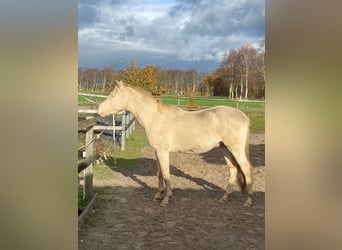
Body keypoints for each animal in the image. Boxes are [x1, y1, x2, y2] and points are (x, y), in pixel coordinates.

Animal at [97, 80, 252, 207]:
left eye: (113, 95)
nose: (99, 110)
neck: (155, 117)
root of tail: (243, 116)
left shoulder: (163, 152)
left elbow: (166, 174)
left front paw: (166, 199)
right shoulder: (157, 151)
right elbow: (159, 173)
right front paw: (158, 195)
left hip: (235, 149)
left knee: (245, 168)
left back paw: (248, 200)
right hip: (225, 148)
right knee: (233, 169)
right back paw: (225, 198)